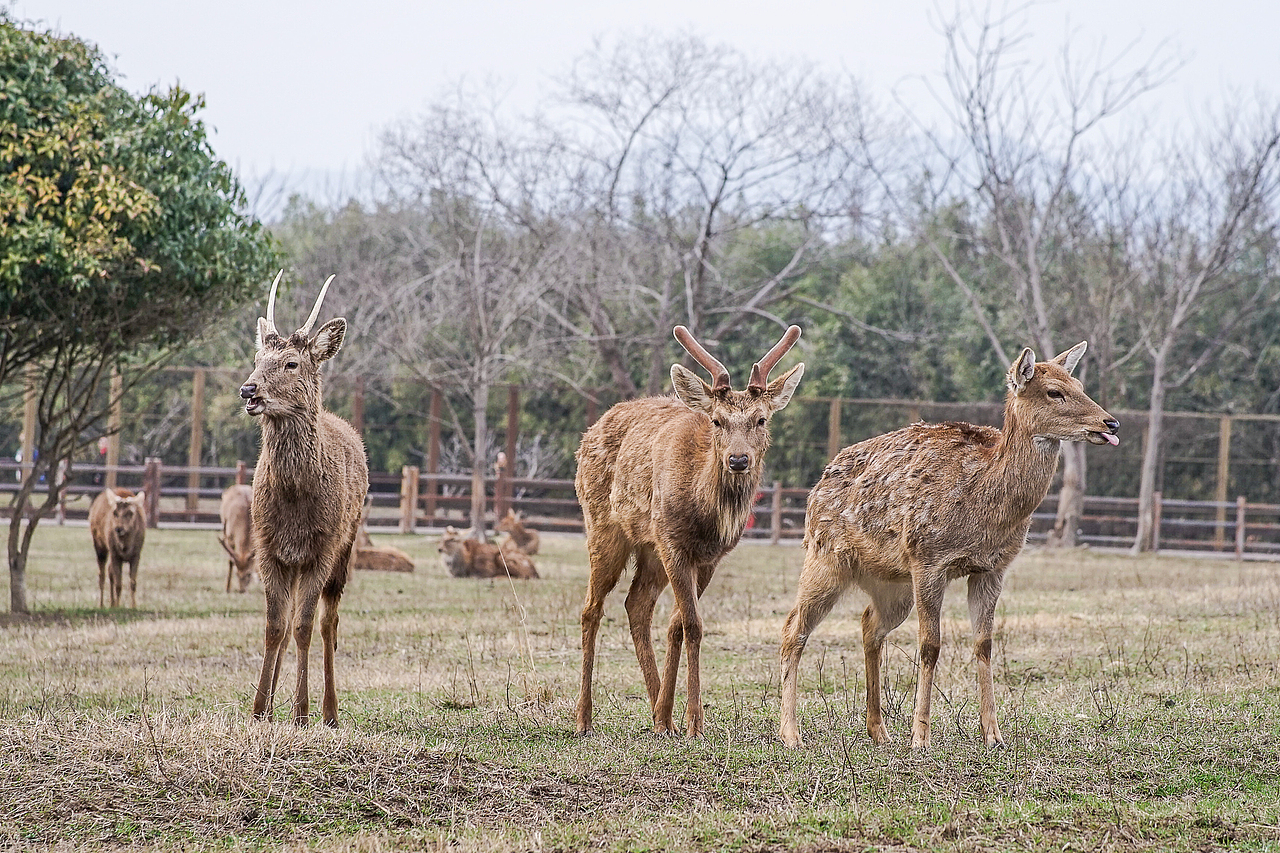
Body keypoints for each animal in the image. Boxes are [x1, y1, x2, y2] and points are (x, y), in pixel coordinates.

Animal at [238, 271, 369, 727]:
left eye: (291, 363)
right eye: (257, 357)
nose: (248, 390)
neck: (295, 501)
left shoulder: (322, 549)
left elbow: (304, 627)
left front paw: (301, 712)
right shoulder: (266, 546)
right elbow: (275, 627)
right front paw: (260, 708)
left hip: (346, 547)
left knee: (329, 623)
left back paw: (329, 710)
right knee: (291, 619)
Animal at [574, 324, 804, 737]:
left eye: (761, 420)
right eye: (717, 421)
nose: (738, 459)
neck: (705, 514)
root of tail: (592, 429)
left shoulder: (709, 558)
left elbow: (678, 625)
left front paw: (670, 716)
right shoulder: (673, 544)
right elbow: (694, 625)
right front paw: (695, 720)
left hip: (648, 550)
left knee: (636, 605)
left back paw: (656, 711)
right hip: (603, 528)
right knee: (591, 610)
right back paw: (584, 717)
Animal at [779, 342, 1120, 750]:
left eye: (1080, 384)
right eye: (1054, 391)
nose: (1110, 424)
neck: (985, 507)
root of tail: (817, 485)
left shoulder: (993, 568)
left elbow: (984, 644)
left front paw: (993, 734)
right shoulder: (928, 559)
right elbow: (930, 644)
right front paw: (920, 736)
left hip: (892, 584)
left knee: (869, 624)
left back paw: (878, 729)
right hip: (824, 556)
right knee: (793, 628)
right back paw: (791, 733)